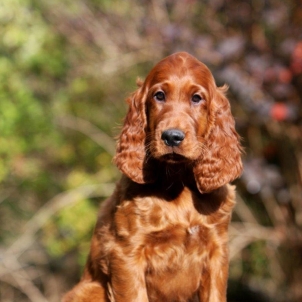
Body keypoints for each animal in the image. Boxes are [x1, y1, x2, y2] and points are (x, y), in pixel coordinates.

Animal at [63, 52, 243, 302]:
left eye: (196, 98)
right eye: (159, 95)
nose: (172, 137)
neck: (178, 180)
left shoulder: (217, 250)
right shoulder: (127, 253)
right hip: (90, 290)